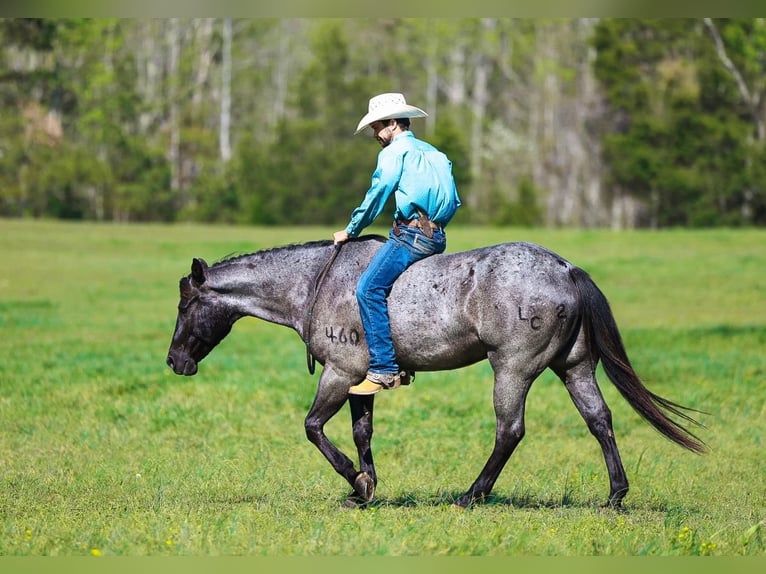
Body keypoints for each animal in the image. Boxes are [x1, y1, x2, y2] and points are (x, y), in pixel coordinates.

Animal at [166, 235, 705, 508]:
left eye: (185, 305)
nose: (174, 361)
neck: (317, 282)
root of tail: (564, 268)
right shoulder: (362, 381)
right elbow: (362, 433)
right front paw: (365, 489)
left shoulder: (338, 373)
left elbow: (314, 427)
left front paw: (357, 482)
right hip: (573, 368)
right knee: (600, 421)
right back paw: (615, 496)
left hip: (512, 370)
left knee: (510, 430)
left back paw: (472, 494)